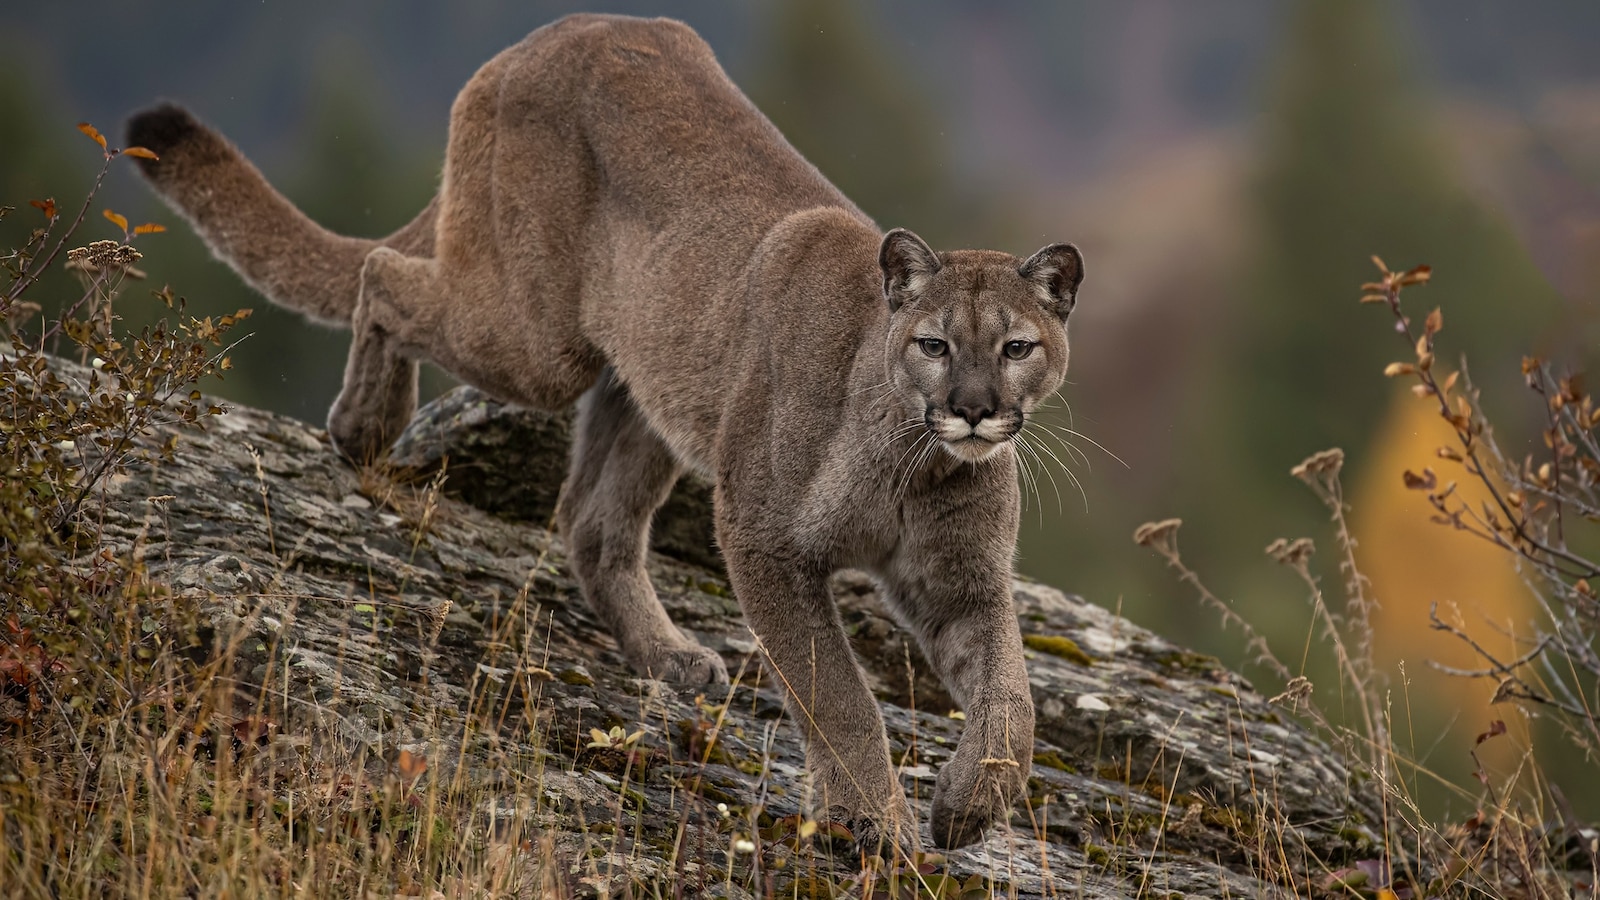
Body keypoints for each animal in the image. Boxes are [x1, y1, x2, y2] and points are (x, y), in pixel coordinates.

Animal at [121, 15, 1075, 851]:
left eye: (1016, 347)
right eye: (935, 344)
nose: (976, 407)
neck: (913, 460)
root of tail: (548, 34)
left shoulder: (960, 582)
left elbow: (1012, 698)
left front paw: (969, 806)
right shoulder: (767, 541)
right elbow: (836, 690)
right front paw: (874, 824)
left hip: (648, 383)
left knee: (592, 519)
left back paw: (667, 655)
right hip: (535, 342)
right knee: (384, 274)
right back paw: (364, 426)